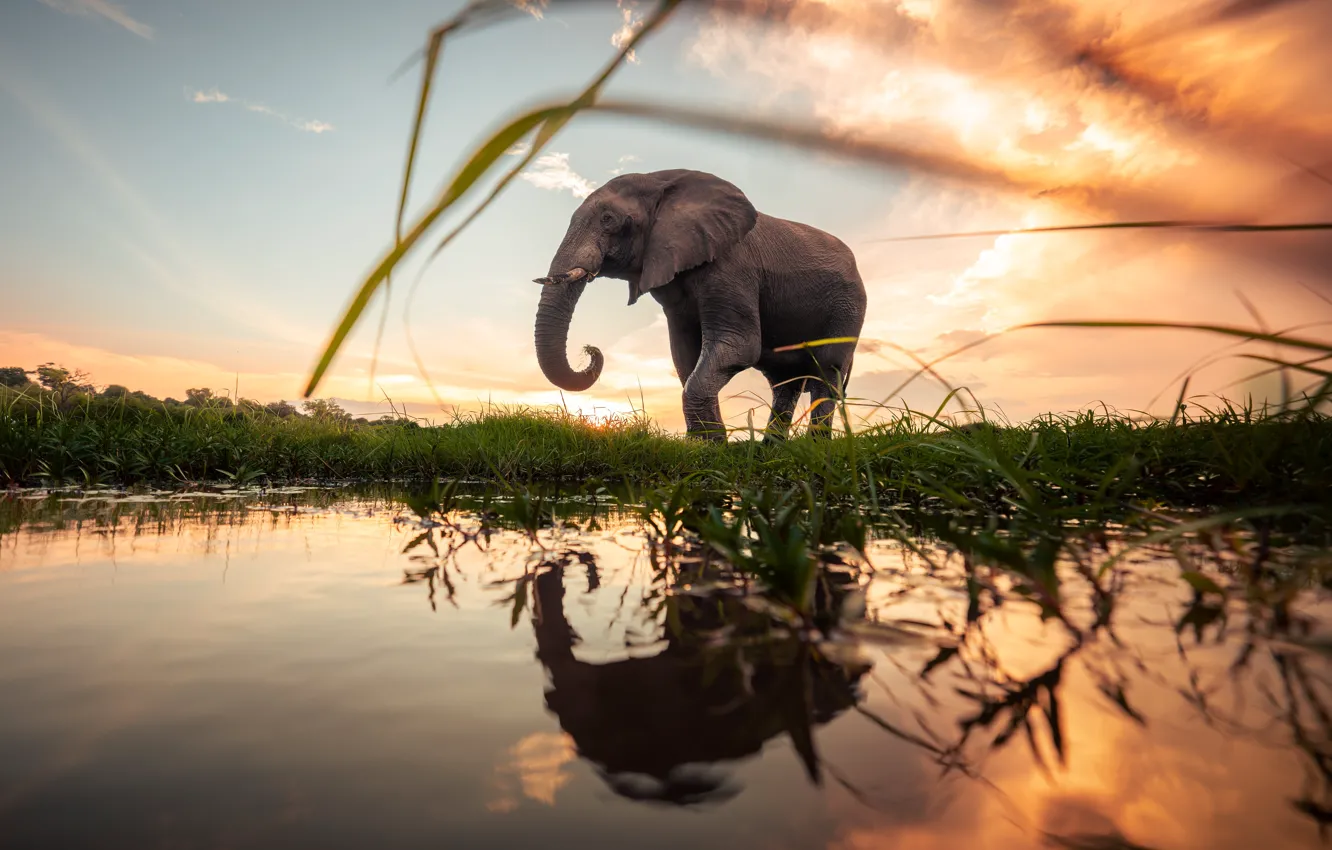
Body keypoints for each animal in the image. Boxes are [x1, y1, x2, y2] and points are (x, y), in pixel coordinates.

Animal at [535, 169, 868, 442]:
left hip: (848, 307)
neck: (660, 182)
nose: (590, 350)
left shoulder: (732, 267)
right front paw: (705, 443)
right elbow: (684, 354)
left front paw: (711, 446)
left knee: (827, 373)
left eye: (608, 219)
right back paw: (771, 449)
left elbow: (740, 346)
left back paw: (815, 446)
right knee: (784, 381)